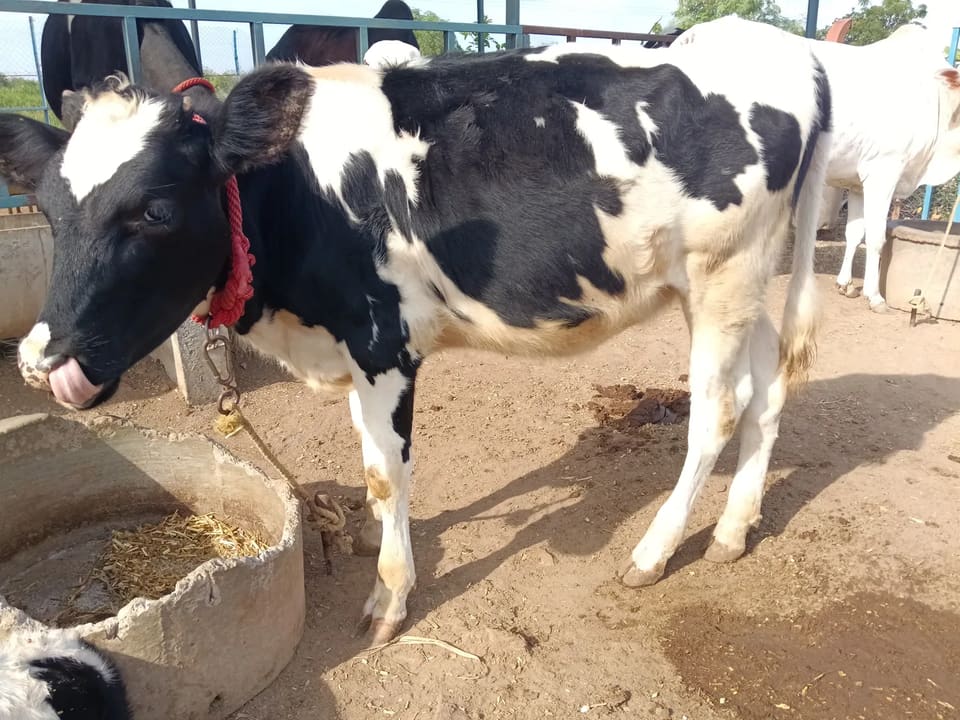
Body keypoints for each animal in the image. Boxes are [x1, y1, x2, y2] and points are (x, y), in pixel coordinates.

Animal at [0, 16, 831, 644]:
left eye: (156, 209)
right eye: (47, 208)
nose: (46, 362)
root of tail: (787, 48)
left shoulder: (382, 343)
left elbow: (385, 473)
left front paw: (389, 597)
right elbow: (372, 471)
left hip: (723, 272)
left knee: (717, 411)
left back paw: (655, 551)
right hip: (742, 280)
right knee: (768, 391)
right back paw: (732, 531)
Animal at [677, 18, 960, 311]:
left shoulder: (856, 182)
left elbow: (854, 232)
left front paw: (846, 284)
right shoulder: (883, 171)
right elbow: (876, 237)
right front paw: (874, 295)